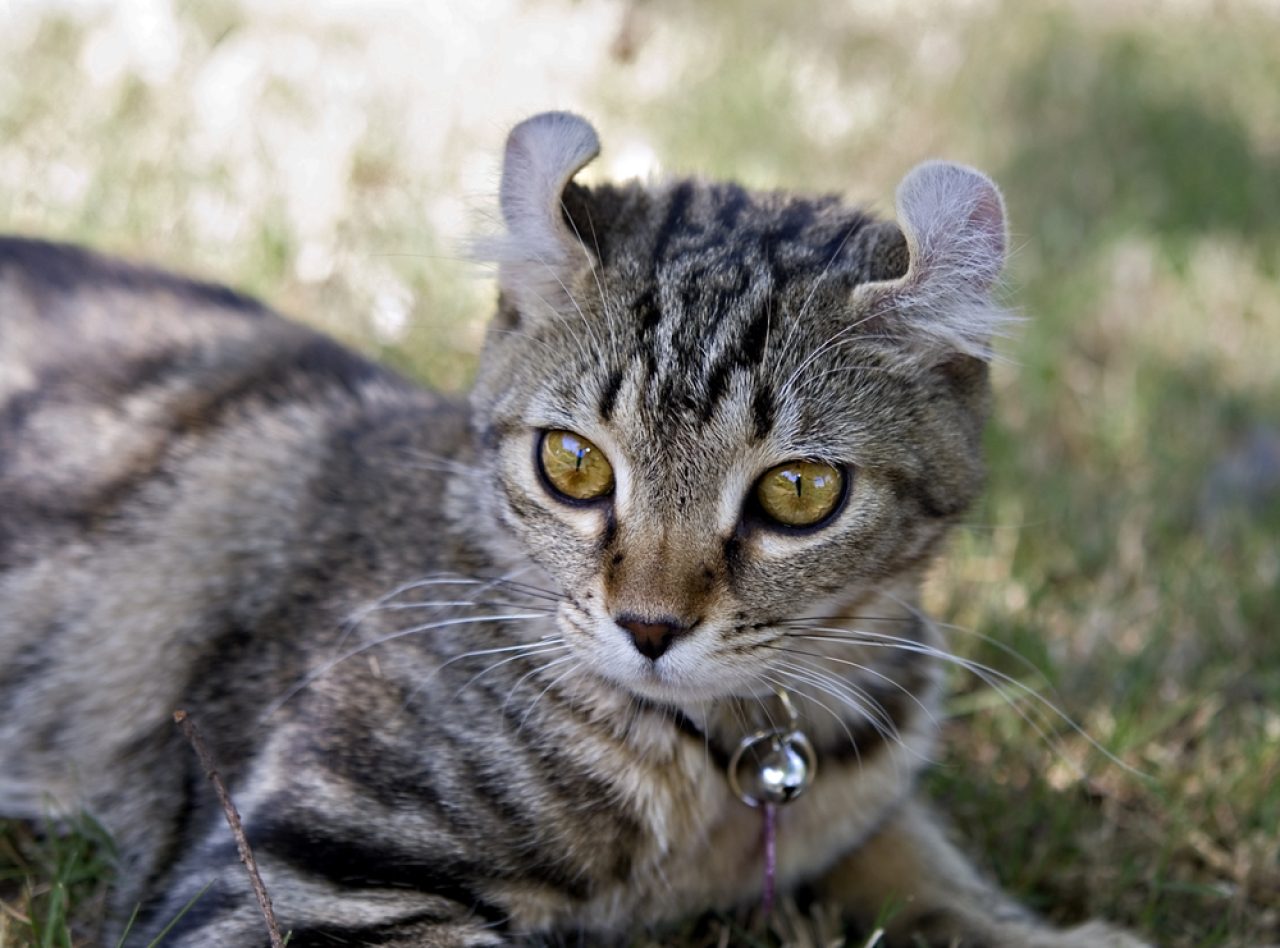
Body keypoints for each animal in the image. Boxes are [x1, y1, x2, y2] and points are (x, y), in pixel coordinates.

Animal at [0, 112, 1141, 946]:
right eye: (573, 465)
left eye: (800, 491)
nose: (649, 626)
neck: (733, 760)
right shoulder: (308, 874)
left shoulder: (867, 812)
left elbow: (940, 881)